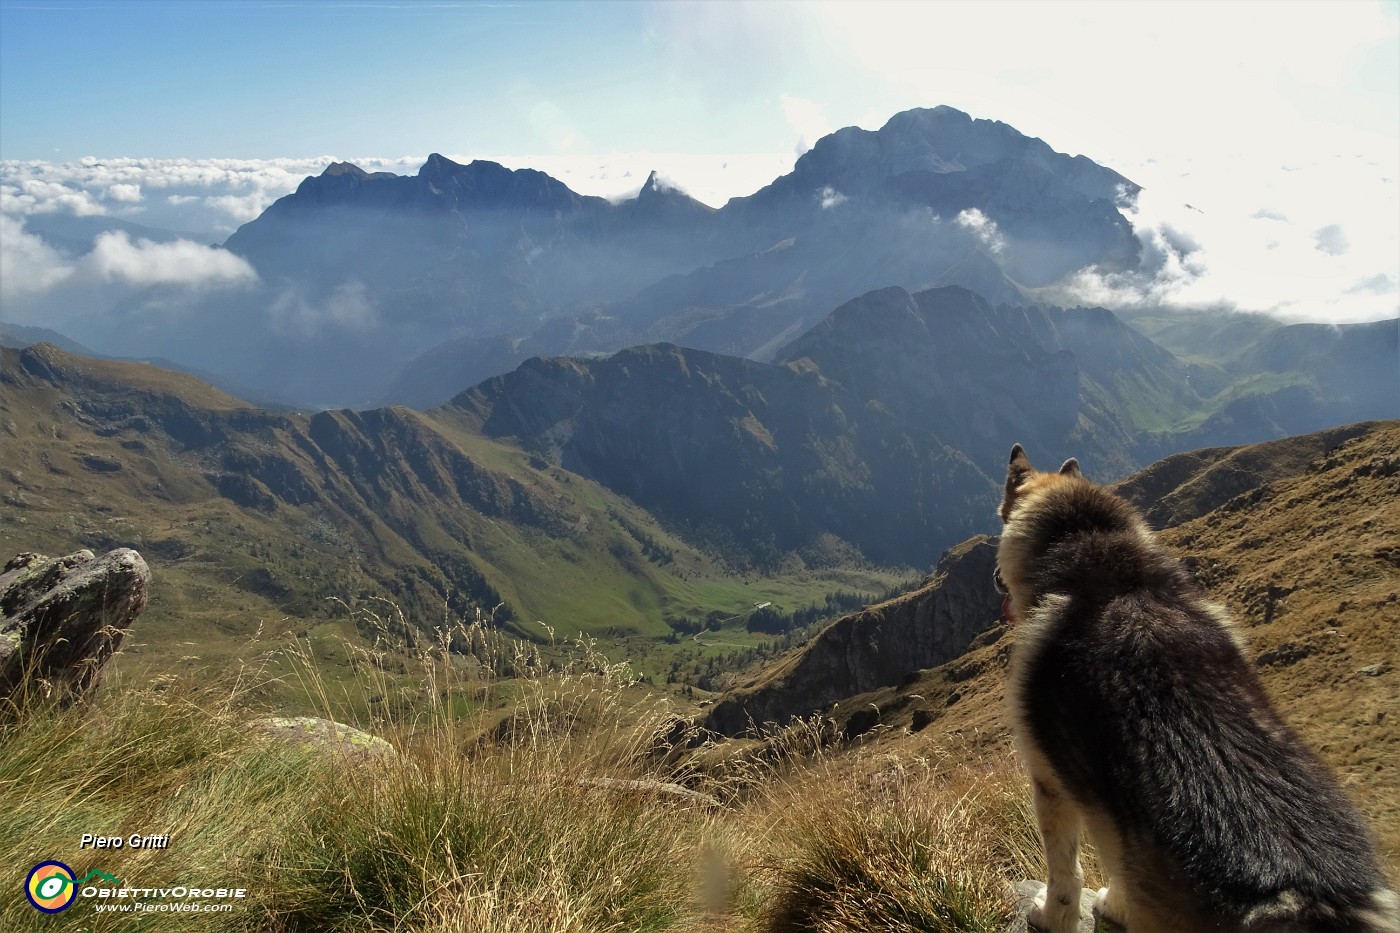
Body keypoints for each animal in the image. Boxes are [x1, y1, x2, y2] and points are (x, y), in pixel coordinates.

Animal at [996, 442, 1400, 930]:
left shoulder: (1050, 782)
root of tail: (1299, 895)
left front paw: (1056, 915)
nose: (996, 583)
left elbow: (1065, 876)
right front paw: (1115, 904)